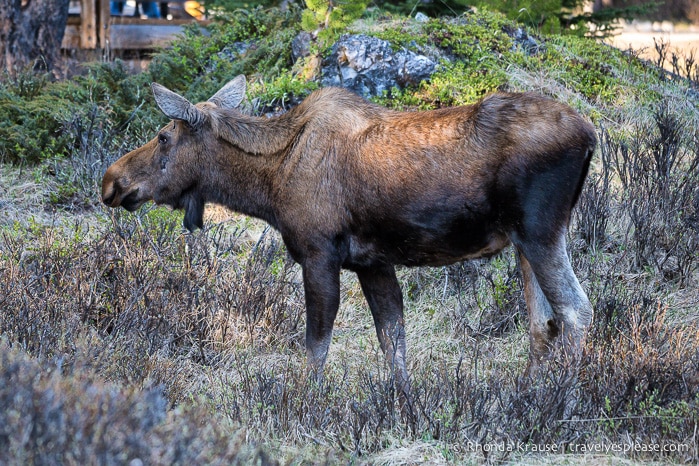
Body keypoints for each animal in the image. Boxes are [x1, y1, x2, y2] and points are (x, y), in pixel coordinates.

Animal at [102, 74, 596, 406]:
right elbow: (392, 335)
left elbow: (317, 342)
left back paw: (561, 401)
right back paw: (525, 393)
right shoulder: (373, 261)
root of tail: (591, 136)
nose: (111, 181)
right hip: (524, 242)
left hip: (540, 231)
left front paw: (306, 402)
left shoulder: (319, 253)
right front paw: (406, 404)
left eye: (163, 136)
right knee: (542, 321)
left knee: (576, 310)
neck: (269, 187)